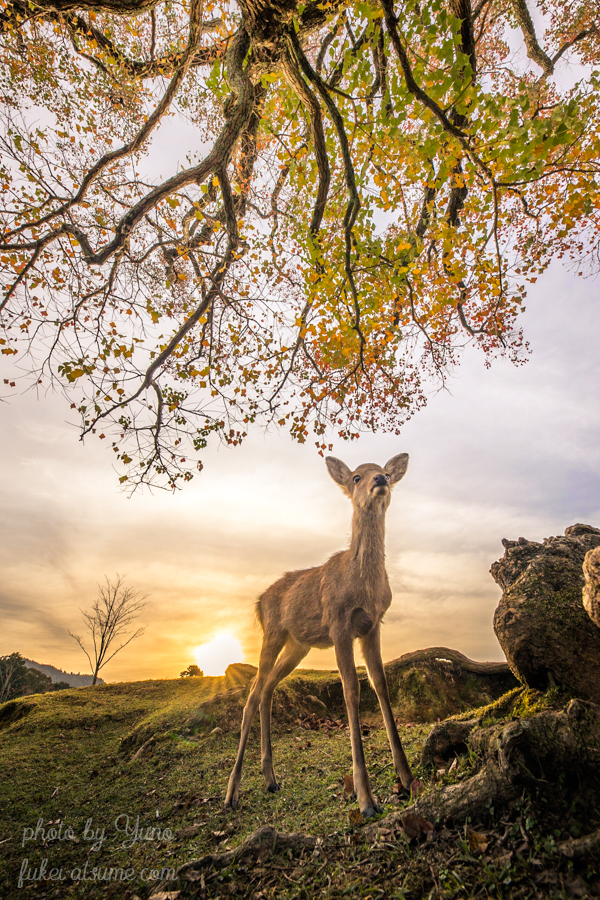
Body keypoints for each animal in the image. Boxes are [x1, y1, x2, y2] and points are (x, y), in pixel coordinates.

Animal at [225, 454, 418, 820]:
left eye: (385, 472)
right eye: (356, 477)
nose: (380, 481)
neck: (364, 586)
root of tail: (259, 600)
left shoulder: (373, 625)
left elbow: (381, 684)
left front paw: (408, 778)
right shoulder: (339, 623)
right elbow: (351, 690)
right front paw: (366, 799)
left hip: (298, 645)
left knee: (267, 688)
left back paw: (271, 779)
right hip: (273, 632)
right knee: (253, 694)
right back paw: (231, 794)